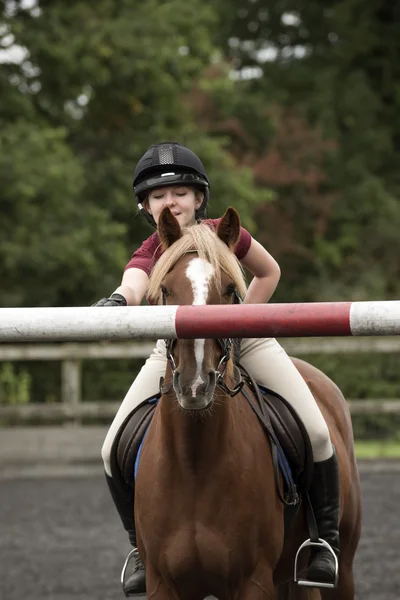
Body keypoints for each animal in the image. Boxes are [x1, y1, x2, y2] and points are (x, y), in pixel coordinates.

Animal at [135, 207, 362, 600]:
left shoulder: (253, 581)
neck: (195, 464)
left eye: (229, 290)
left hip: (339, 572)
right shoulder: (162, 584)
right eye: (165, 290)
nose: (195, 383)